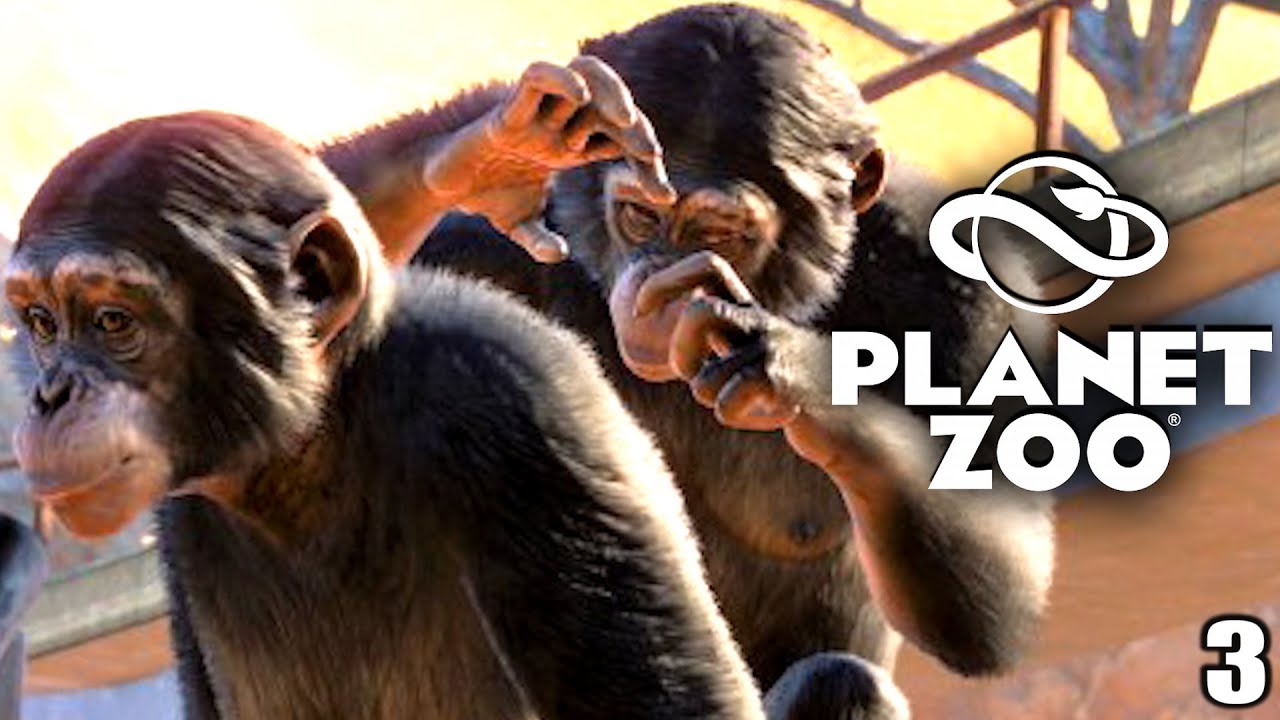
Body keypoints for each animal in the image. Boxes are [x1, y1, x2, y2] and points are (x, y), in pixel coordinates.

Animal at [412, 6, 1057, 716]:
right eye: (639, 215)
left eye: (720, 232)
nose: (658, 285)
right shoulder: (468, 257)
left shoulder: (968, 284)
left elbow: (999, 600)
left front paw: (790, 367)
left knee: (845, 677)